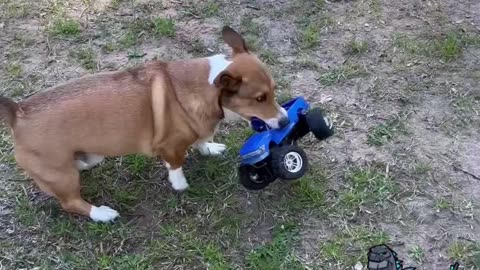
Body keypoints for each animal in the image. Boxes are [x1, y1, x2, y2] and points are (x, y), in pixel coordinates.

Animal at [0, 26, 288, 223]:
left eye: (274, 90)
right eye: (259, 98)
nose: (285, 120)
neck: (209, 88)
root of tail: (18, 112)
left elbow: (202, 140)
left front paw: (209, 148)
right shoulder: (170, 147)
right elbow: (176, 166)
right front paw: (181, 185)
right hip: (64, 178)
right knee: (71, 202)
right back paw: (101, 213)